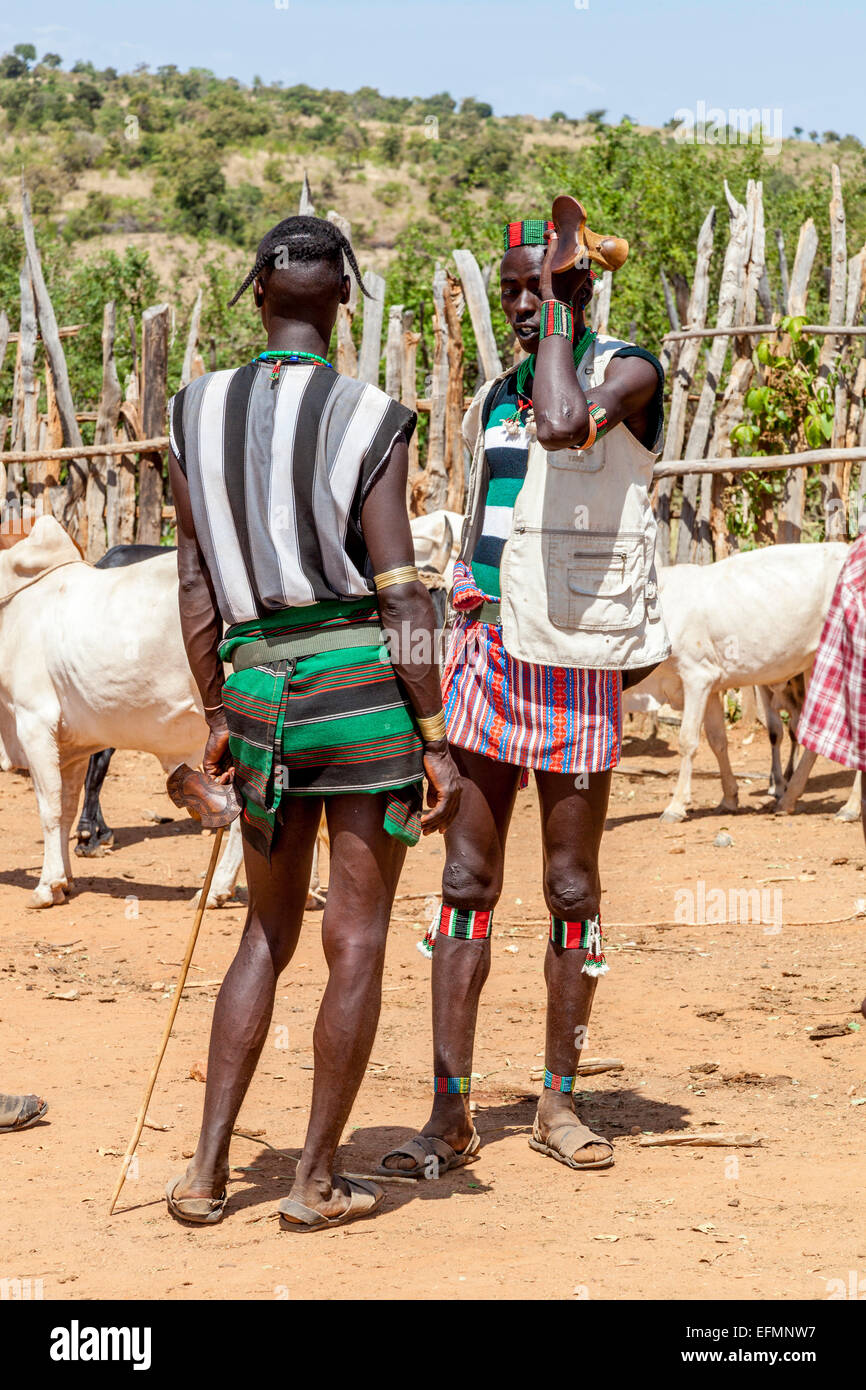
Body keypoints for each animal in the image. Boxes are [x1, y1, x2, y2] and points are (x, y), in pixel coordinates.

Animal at [625, 539, 850, 822]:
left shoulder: (696, 677)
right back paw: (788, 798)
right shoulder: (710, 687)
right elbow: (717, 741)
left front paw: (676, 806)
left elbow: (688, 741)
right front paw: (729, 798)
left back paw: (848, 807)